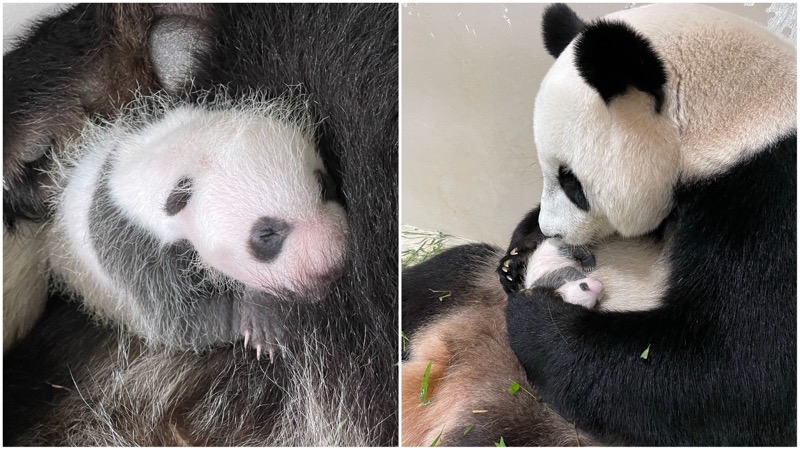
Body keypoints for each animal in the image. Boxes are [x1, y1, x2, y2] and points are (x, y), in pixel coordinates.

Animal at [2, 4, 396, 446]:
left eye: (325, 185)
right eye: (265, 236)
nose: (332, 264)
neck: (169, 159)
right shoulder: (133, 248)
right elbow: (178, 320)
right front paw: (259, 315)